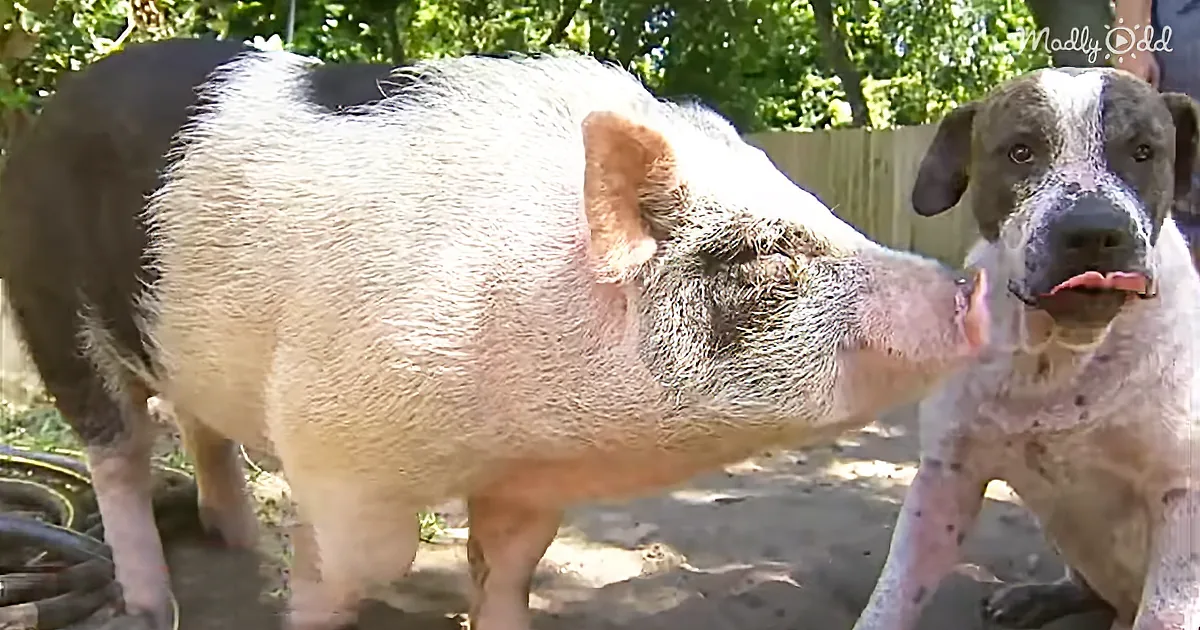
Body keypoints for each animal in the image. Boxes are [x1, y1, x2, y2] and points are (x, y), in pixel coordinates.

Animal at [2, 46, 990, 630]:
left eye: (818, 208)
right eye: (762, 256)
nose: (970, 288)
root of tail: (45, 116)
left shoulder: (530, 481)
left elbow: (511, 565)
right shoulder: (337, 445)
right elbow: (366, 561)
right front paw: (305, 593)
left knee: (201, 427)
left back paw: (239, 544)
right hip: (51, 312)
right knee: (120, 456)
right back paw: (150, 601)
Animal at [850, 67, 1200, 630]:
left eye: (1144, 150)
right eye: (1020, 151)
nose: (1093, 231)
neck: (1059, 358)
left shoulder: (1183, 496)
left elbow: (1165, 613)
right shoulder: (947, 479)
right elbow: (893, 595)